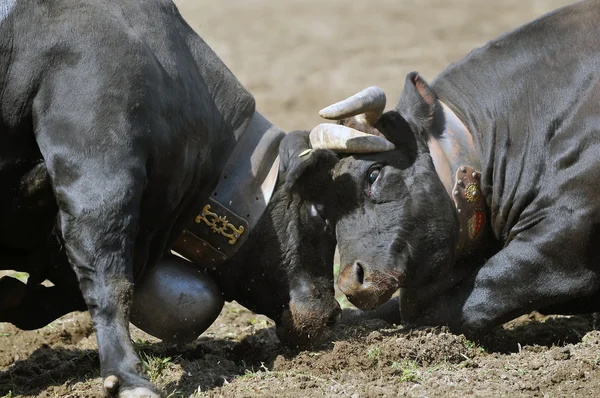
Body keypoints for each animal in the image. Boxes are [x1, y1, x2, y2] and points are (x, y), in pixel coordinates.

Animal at [0, 0, 390, 394]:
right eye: (319, 212)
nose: (333, 315)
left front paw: (13, 297)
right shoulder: (99, 176)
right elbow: (108, 280)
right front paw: (128, 377)